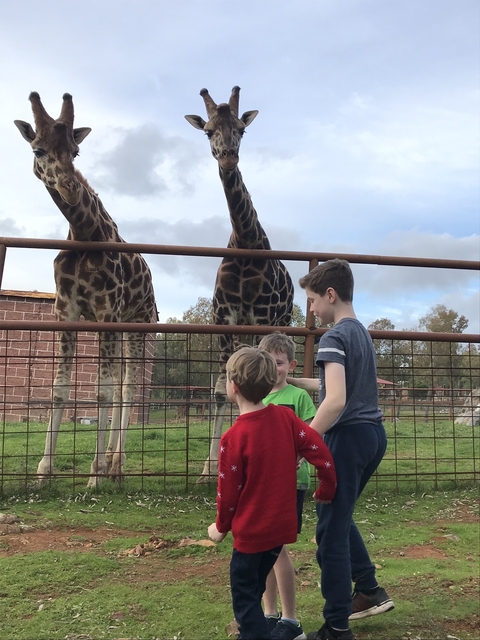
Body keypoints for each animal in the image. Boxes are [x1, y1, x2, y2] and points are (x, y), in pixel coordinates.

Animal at [14, 92, 158, 488]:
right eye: (38, 149)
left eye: (76, 152)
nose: (70, 188)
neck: (83, 233)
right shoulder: (68, 310)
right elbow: (59, 390)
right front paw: (43, 472)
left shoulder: (107, 310)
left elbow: (101, 392)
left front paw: (94, 476)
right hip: (119, 327)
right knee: (123, 383)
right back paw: (111, 460)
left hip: (137, 323)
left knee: (129, 387)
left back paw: (116, 465)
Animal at [185, 86, 294, 481]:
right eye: (207, 132)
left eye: (241, 130)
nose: (229, 157)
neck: (245, 240)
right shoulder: (224, 317)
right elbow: (221, 390)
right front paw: (208, 467)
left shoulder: (261, 316)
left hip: (279, 321)